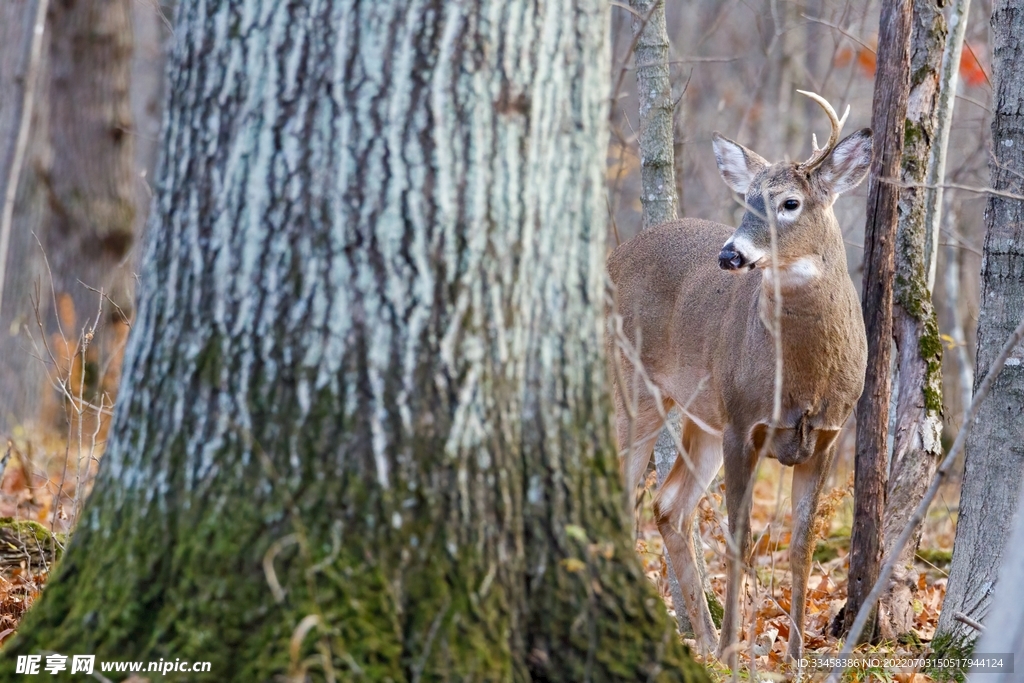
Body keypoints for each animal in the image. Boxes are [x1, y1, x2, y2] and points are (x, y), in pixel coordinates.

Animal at [606, 90, 872, 663]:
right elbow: (739, 538)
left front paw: (793, 655)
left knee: (668, 507)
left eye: (790, 203)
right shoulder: (741, 422)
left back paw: (702, 640)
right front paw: (736, 650)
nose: (730, 254)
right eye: (746, 200)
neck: (803, 379)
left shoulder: (827, 436)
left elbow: (801, 546)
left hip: (698, 417)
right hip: (635, 392)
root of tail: (612, 259)